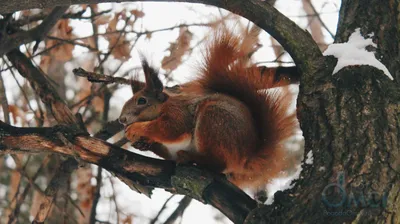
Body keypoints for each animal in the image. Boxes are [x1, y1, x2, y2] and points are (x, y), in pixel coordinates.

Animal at [118, 30, 296, 190]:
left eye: (142, 101)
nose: (121, 120)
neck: (163, 106)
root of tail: (246, 159)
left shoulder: (178, 112)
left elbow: (171, 128)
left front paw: (135, 129)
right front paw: (143, 143)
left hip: (214, 120)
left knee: (218, 164)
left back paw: (192, 157)